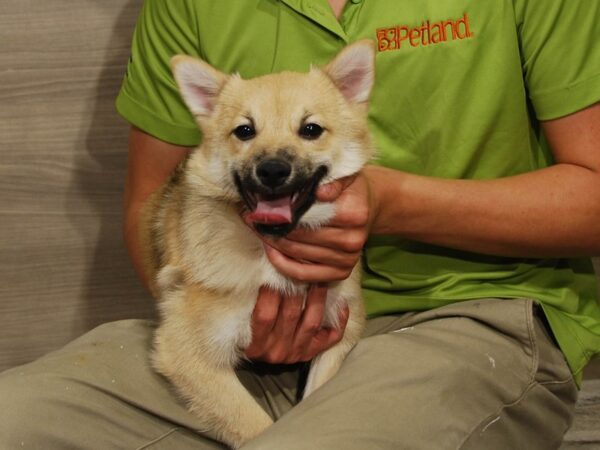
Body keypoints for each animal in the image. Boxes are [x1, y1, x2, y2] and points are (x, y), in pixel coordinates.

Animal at [141, 40, 376, 448]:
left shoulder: (339, 334)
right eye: (244, 131)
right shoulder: (186, 352)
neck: (267, 249)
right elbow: (256, 426)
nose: (272, 171)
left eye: (311, 129)